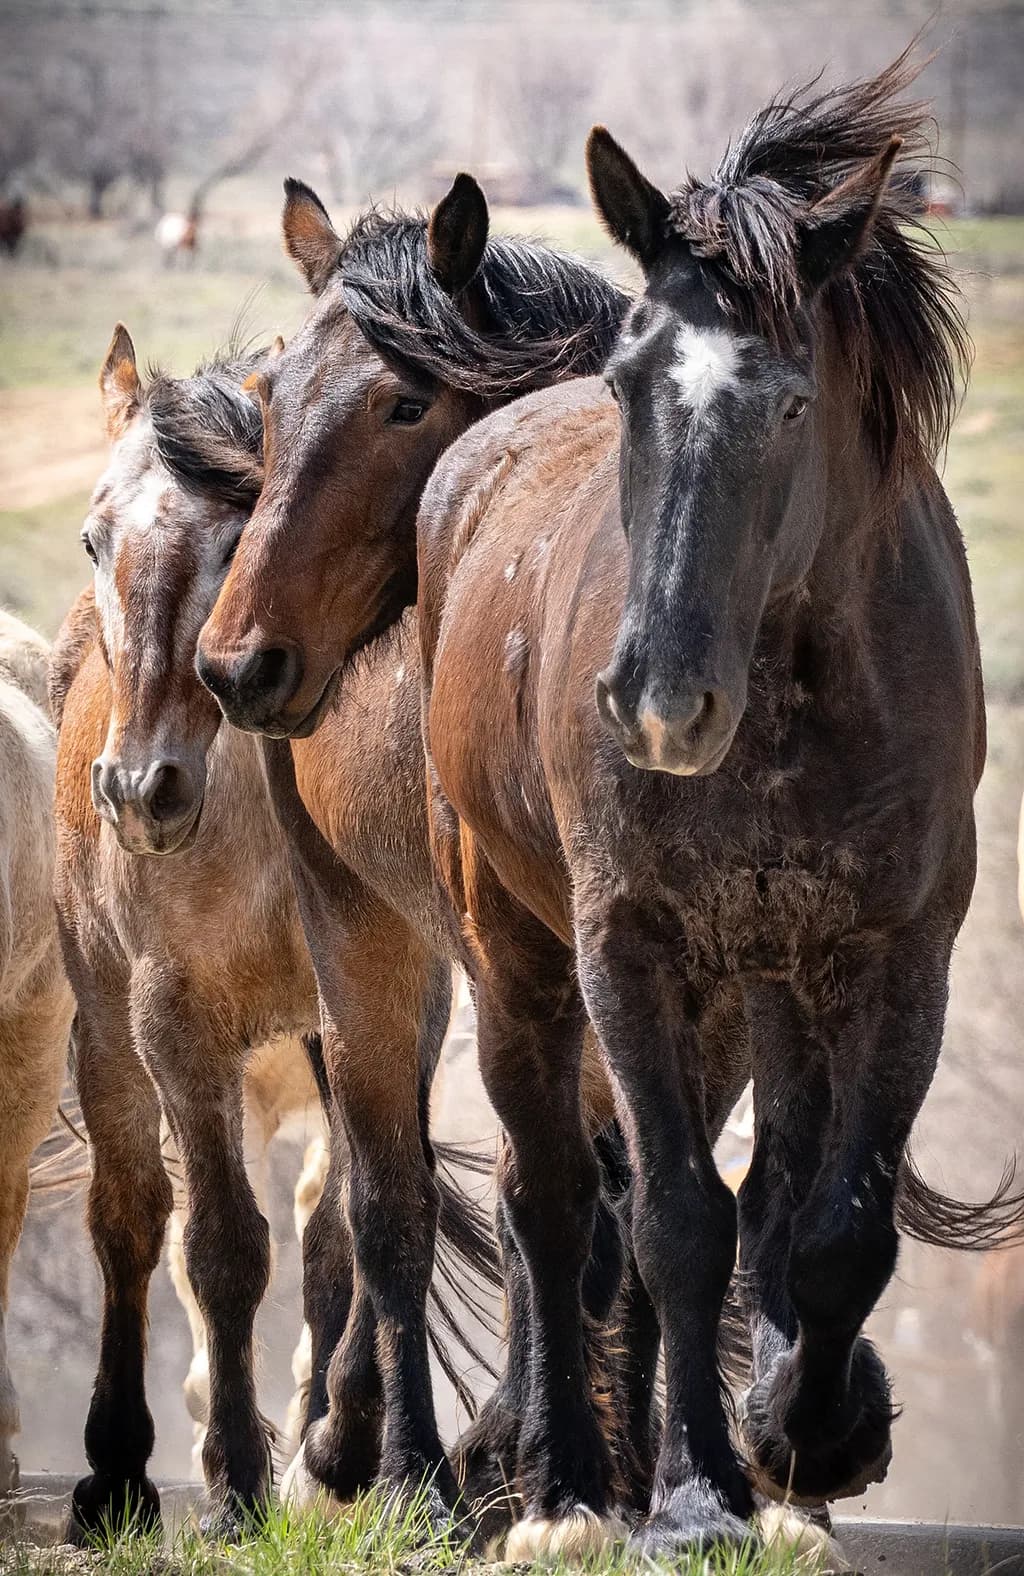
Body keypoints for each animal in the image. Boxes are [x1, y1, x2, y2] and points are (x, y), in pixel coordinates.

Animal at [52, 329, 499, 1536]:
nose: (139, 790)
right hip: (106, 1025)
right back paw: (123, 1467)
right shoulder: (174, 1020)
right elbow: (216, 1245)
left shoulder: (389, 998)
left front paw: (335, 1451)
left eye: (233, 537)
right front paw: (235, 1476)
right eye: (94, 536)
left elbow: (343, 1230)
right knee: (129, 1218)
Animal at [194, 179, 672, 1533]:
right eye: (267, 397)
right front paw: (443, 1462)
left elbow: (611, 1202)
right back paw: (390, 1449)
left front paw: (617, 1465)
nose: (238, 662)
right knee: (390, 1193)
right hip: (373, 937)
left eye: (406, 401)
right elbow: (418, 1201)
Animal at [409, 53, 1021, 1558]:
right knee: (551, 1199)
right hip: (517, 958)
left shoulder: (893, 955)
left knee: (764, 1193)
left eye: (792, 404)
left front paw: (809, 1431)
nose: (655, 702)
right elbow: (677, 1221)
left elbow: (832, 1221)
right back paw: (566, 1481)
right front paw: (692, 1495)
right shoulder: (626, 948)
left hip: (763, 990)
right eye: (630, 383)